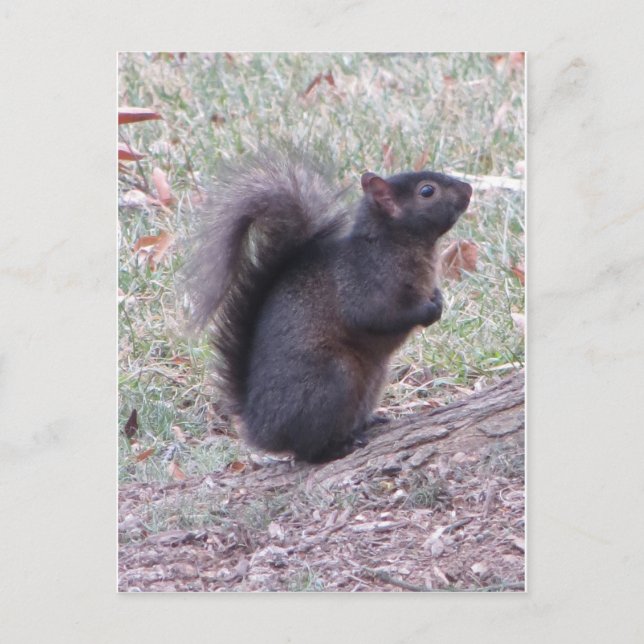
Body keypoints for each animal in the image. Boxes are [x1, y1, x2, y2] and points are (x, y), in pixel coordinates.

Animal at [186, 151, 472, 463]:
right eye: (427, 191)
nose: (468, 188)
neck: (395, 243)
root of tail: (261, 427)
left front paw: (439, 300)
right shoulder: (364, 285)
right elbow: (377, 316)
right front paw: (428, 311)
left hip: (372, 381)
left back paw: (369, 422)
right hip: (334, 378)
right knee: (307, 450)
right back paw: (338, 448)